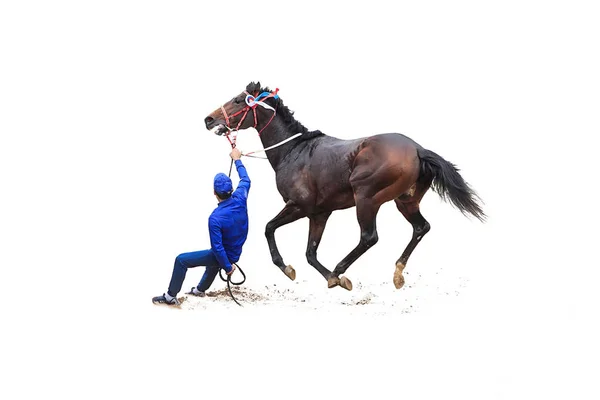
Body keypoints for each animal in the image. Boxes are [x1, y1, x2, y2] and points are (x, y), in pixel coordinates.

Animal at [204, 81, 486, 292]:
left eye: (238, 100)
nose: (209, 119)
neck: (292, 151)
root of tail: (418, 149)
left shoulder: (299, 206)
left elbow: (269, 228)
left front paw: (291, 269)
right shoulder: (319, 213)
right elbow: (310, 253)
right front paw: (329, 277)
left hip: (367, 199)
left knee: (370, 237)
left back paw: (342, 269)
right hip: (405, 201)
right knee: (421, 227)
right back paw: (396, 273)